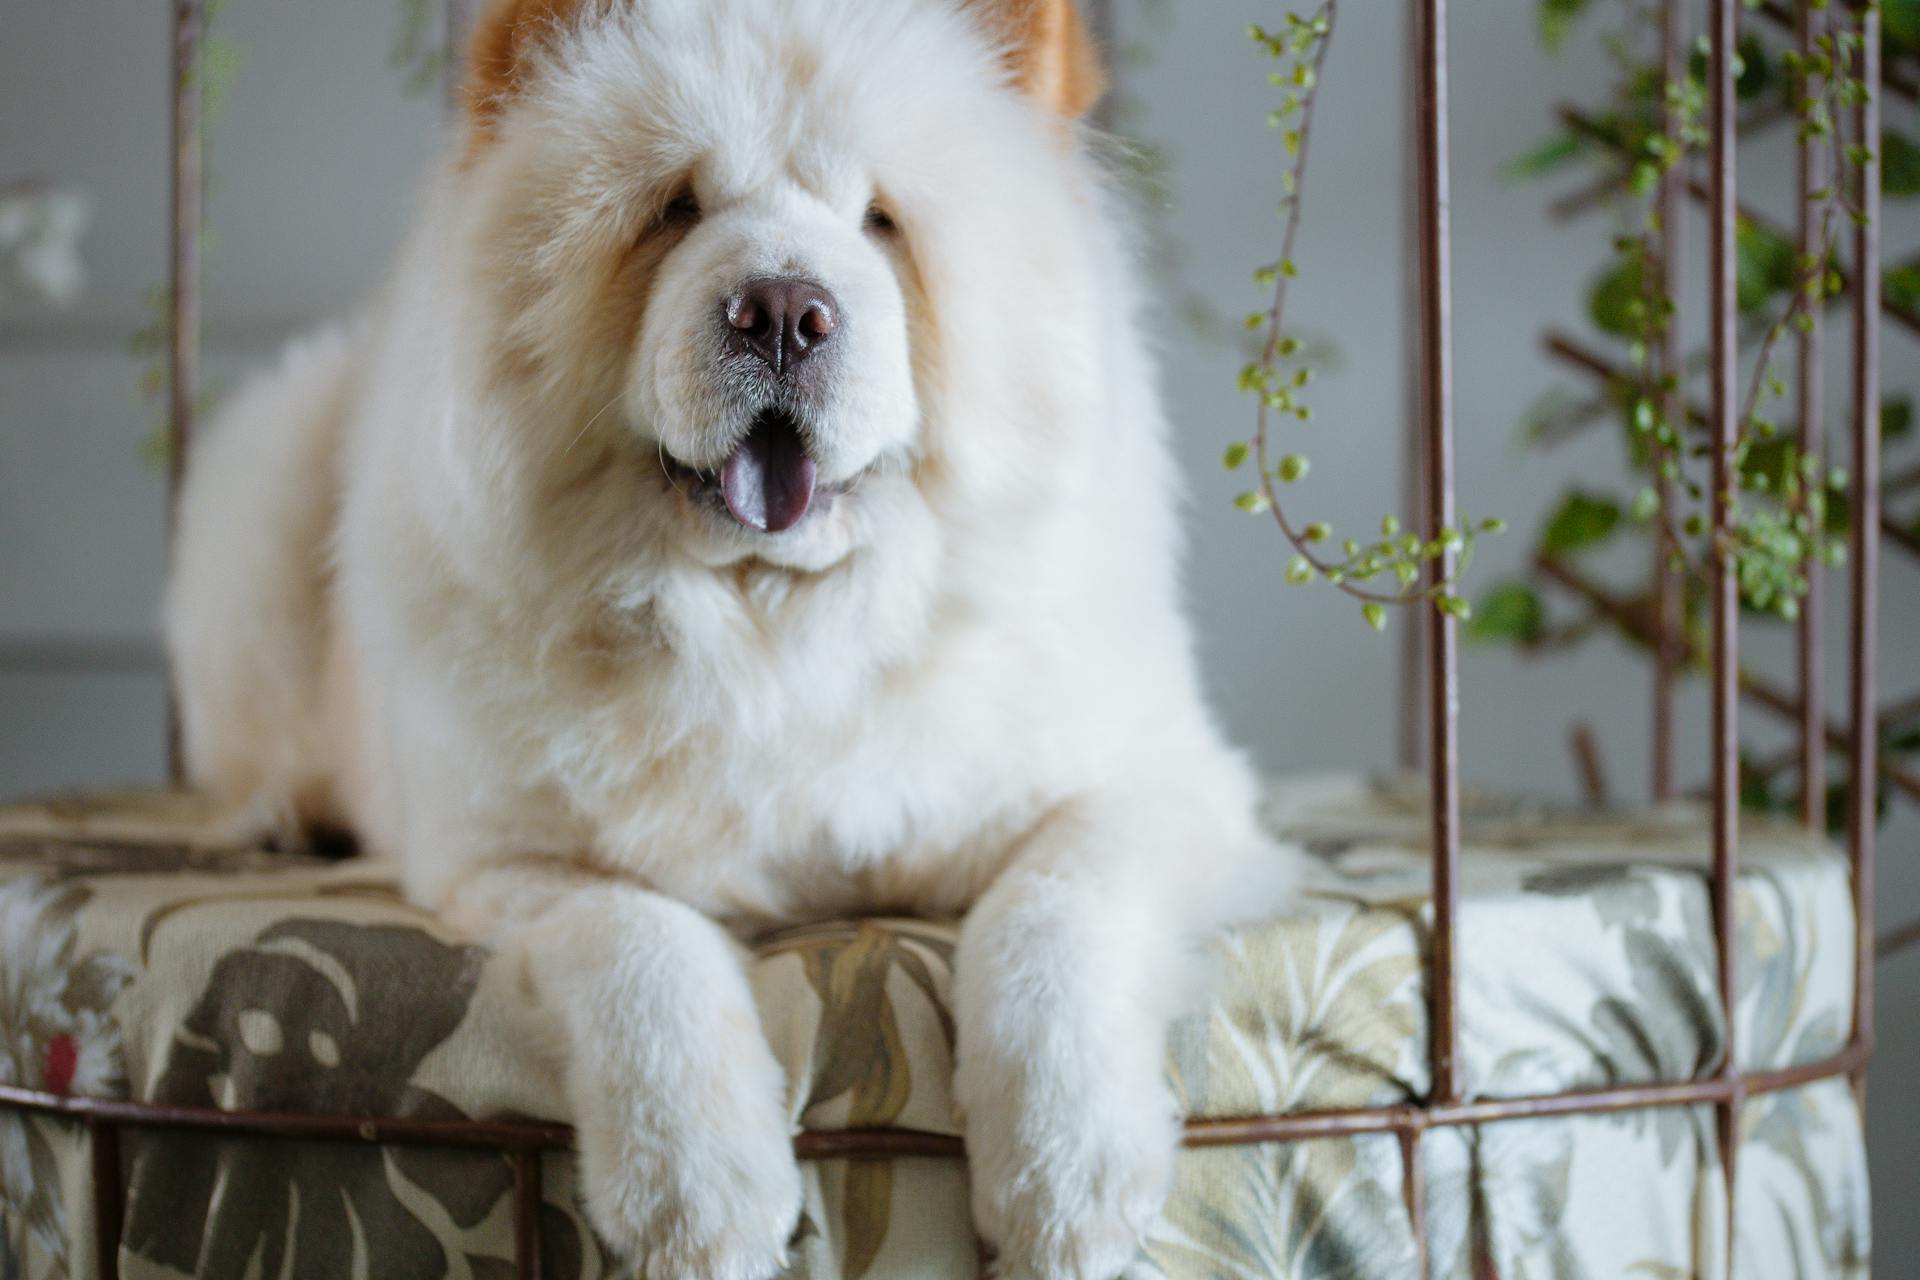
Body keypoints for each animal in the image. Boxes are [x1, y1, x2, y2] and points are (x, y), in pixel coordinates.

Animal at [165, 0, 1297, 1274]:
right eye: (675, 210)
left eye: (882, 220)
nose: (784, 312)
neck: (775, 623)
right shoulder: (503, 860)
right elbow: (639, 936)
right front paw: (696, 1198)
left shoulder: (1158, 787)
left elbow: (1052, 908)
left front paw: (1069, 1184)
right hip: (262, 488)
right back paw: (280, 813)